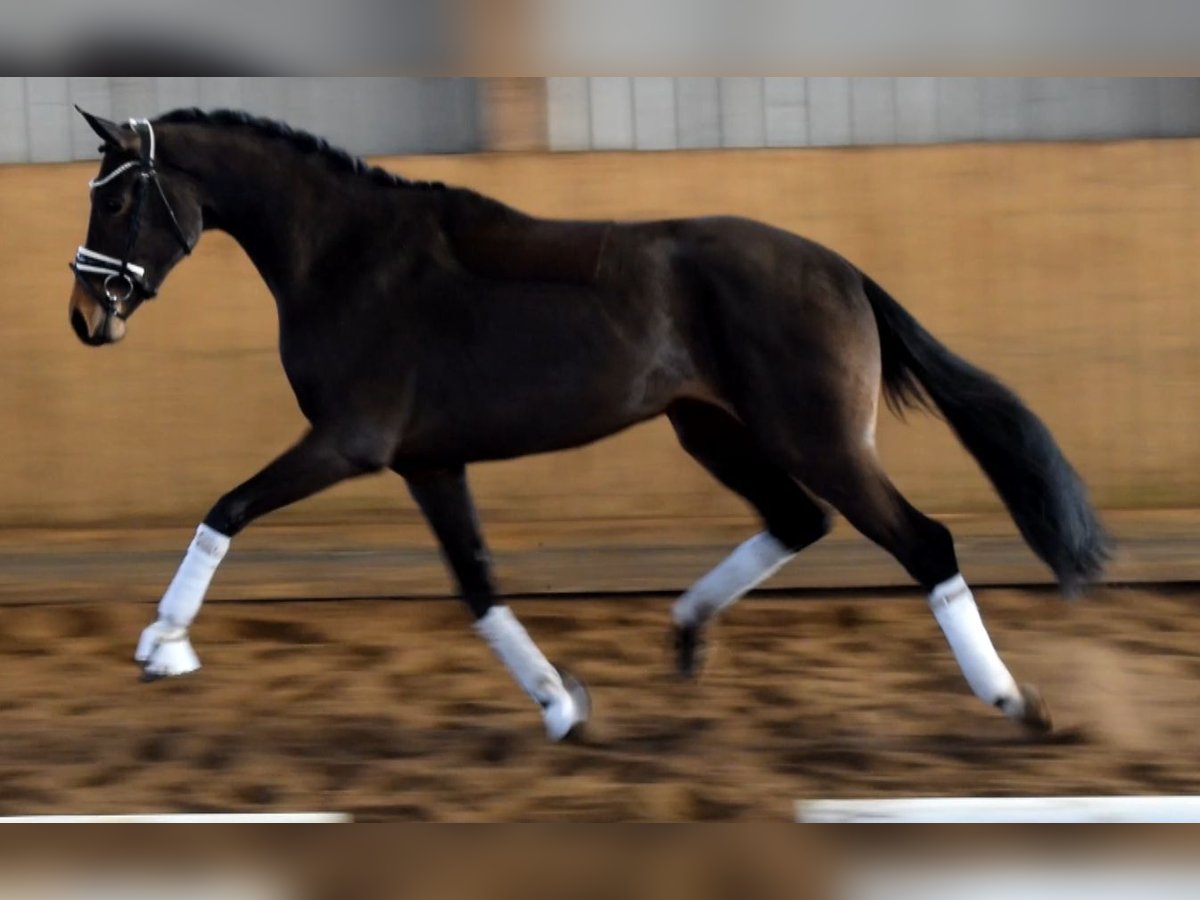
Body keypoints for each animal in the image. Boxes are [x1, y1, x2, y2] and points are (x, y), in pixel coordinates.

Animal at [70, 109, 1108, 744]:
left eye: (118, 198)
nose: (87, 318)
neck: (345, 257)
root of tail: (842, 270)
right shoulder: (429, 463)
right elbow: (478, 587)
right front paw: (565, 708)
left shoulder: (348, 444)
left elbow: (227, 508)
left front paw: (163, 646)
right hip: (712, 429)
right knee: (797, 520)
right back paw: (686, 637)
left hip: (821, 439)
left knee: (923, 542)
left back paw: (1016, 701)